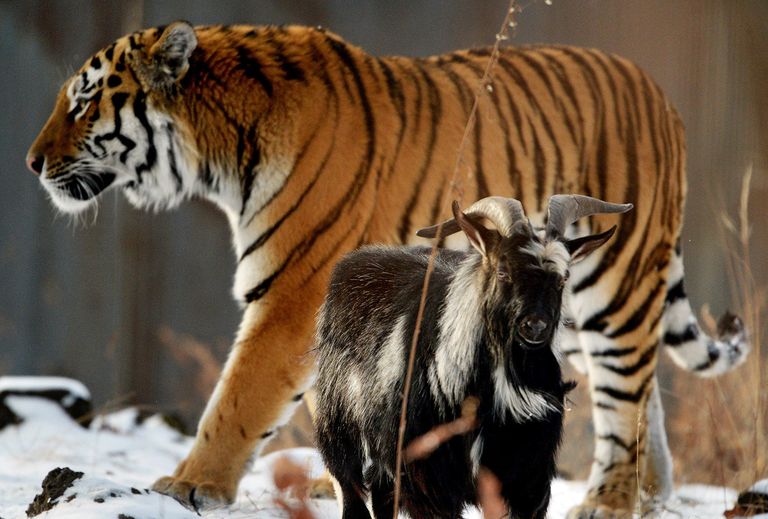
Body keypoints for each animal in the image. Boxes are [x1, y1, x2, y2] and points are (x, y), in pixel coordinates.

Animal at [27, 21, 749, 518]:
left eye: (83, 104)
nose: (31, 162)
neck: (221, 155)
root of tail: (660, 91)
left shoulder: (292, 294)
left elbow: (236, 397)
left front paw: (187, 485)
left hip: (616, 284)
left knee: (626, 393)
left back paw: (609, 500)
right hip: (561, 314)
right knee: (641, 391)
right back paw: (649, 494)